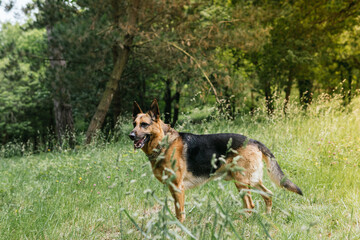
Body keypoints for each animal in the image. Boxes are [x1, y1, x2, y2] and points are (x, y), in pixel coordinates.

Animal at [129, 98, 300, 222]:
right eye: (134, 124)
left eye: (144, 125)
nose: (130, 135)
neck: (163, 142)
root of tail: (253, 140)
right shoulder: (174, 189)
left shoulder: (178, 188)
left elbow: (180, 213)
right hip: (250, 181)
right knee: (267, 195)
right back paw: (265, 216)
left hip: (242, 183)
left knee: (250, 205)